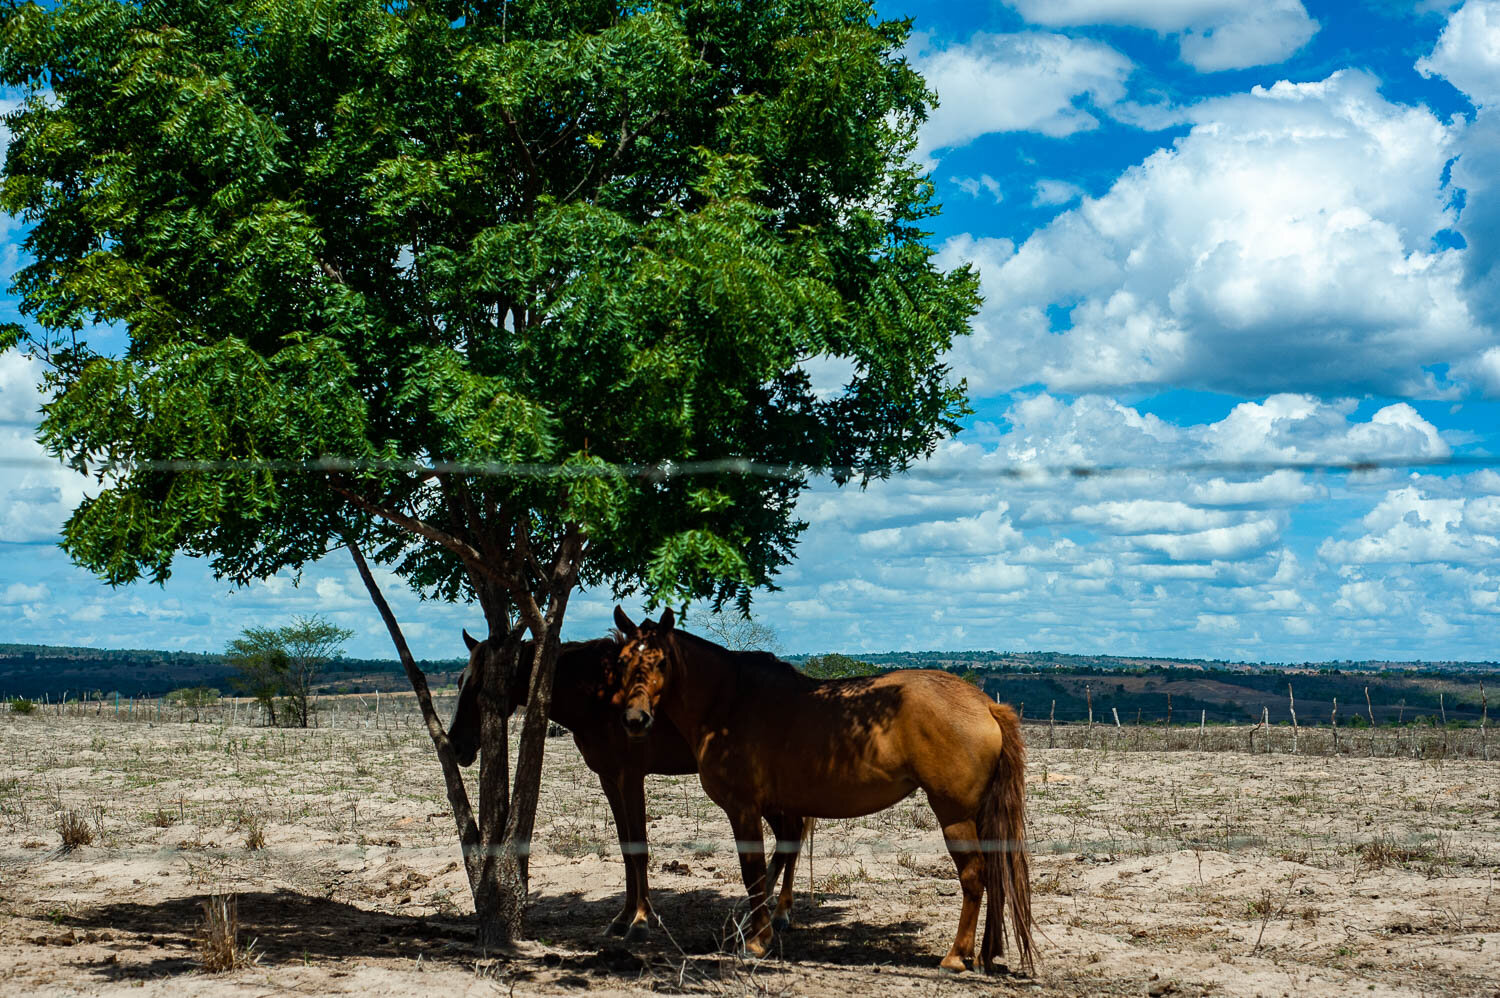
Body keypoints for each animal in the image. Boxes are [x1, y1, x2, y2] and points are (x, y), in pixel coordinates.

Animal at [450, 633, 816, 936]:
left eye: (483, 687)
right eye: (460, 680)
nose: (456, 745)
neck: (599, 696)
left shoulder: (630, 776)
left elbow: (639, 848)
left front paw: (641, 921)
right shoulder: (609, 778)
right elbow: (626, 848)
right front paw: (623, 918)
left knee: (791, 832)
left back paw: (779, 913)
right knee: (789, 834)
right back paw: (764, 907)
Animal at [609, 603, 1032, 966]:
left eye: (661, 660)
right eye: (623, 661)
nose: (635, 719)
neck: (728, 703)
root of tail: (985, 705)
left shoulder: (743, 809)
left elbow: (753, 873)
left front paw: (757, 941)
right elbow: (770, 866)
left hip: (954, 814)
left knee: (974, 876)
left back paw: (956, 957)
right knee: (994, 875)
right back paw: (985, 954)